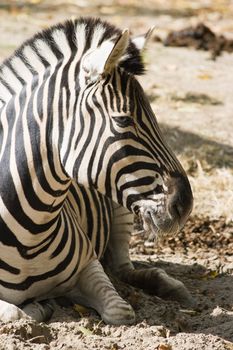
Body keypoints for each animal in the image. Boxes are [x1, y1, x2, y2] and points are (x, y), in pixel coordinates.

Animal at [0, 17, 193, 326]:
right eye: (124, 120)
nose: (185, 205)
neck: (29, 235)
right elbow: (13, 313)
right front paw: (35, 308)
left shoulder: (89, 264)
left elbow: (120, 310)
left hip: (122, 212)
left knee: (122, 268)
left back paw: (168, 286)